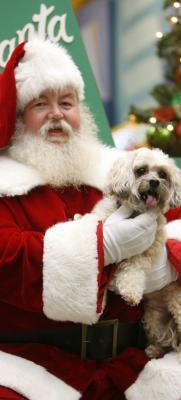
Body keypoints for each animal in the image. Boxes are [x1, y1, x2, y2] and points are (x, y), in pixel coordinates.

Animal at [93, 148, 181, 360]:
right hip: (154, 318)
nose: (155, 182)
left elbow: (133, 269)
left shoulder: (144, 253)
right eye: (141, 170)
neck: (135, 214)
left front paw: (130, 292)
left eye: (162, 174)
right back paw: (154, 350)